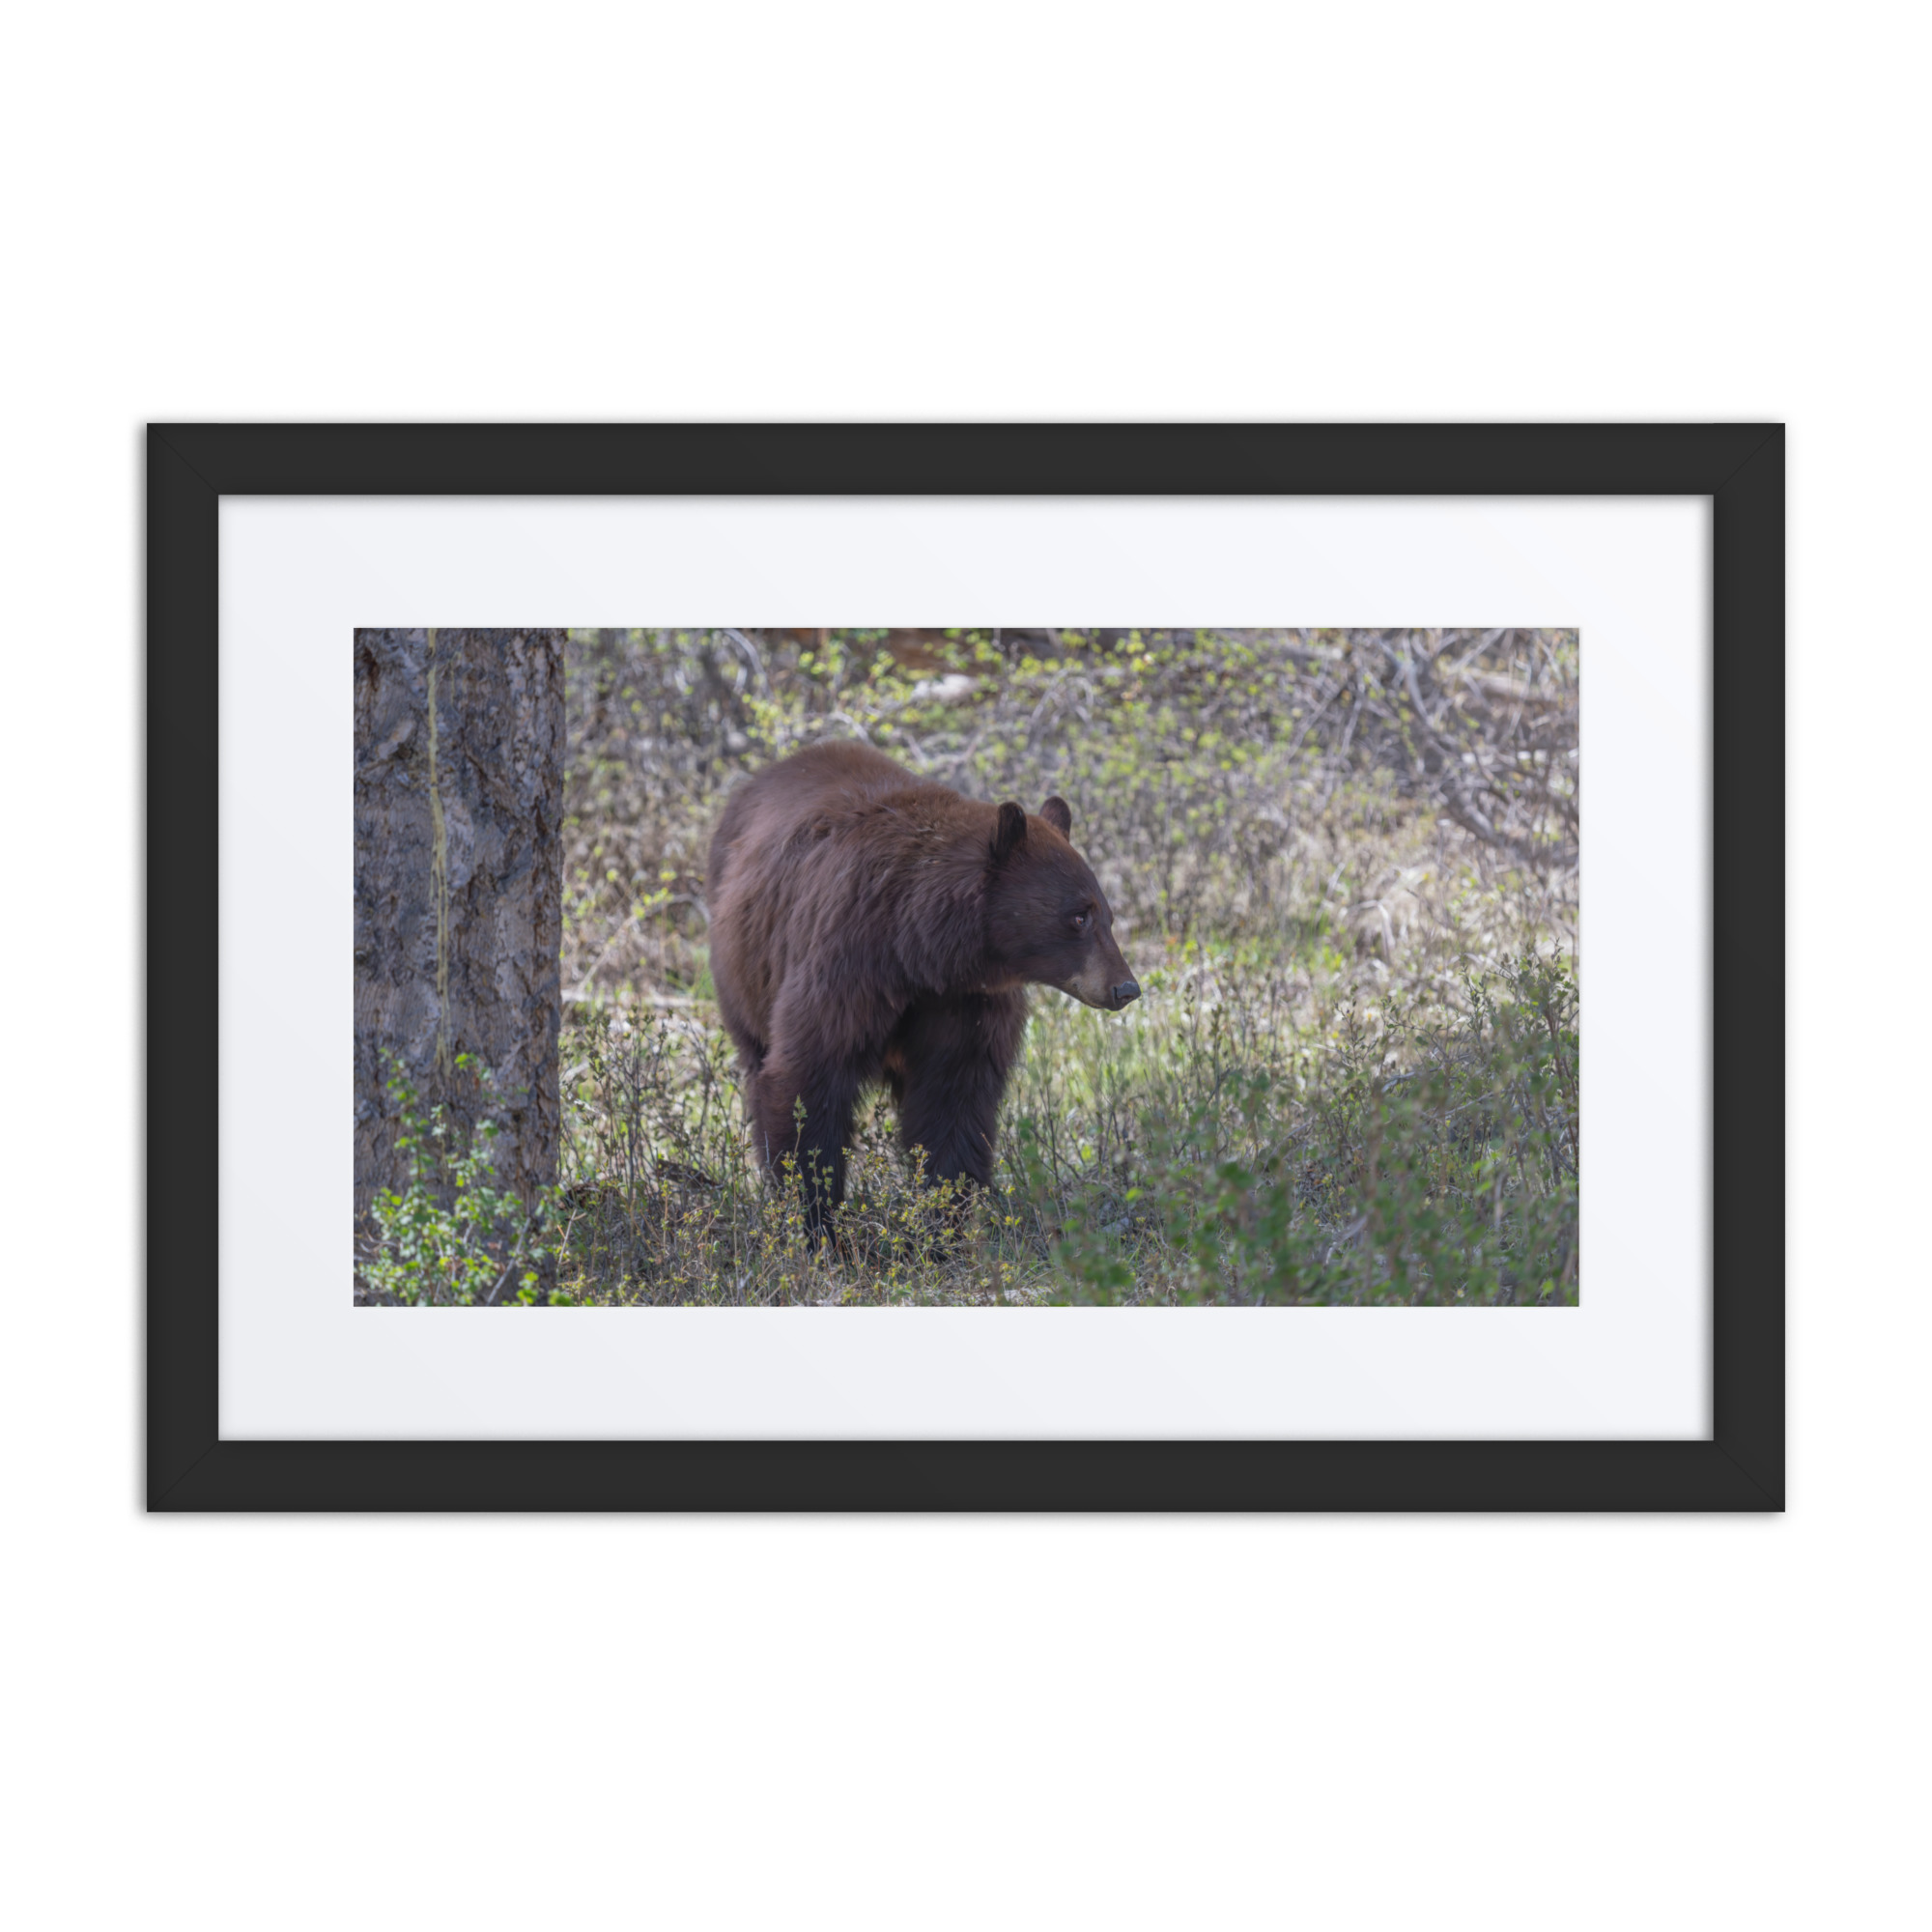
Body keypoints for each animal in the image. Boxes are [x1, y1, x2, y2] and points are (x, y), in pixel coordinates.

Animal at [705, 740, 1139, 1225]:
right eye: (1079, 917)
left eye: (1108, 916)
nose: (1126, 988)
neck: (918, 949)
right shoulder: (846, 963)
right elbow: (808, 1078)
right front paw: (816, 1216)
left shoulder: (964, 1001)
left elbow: (954, 1098)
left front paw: (943, 1215)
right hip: (744, 972)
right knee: (756, 1058)